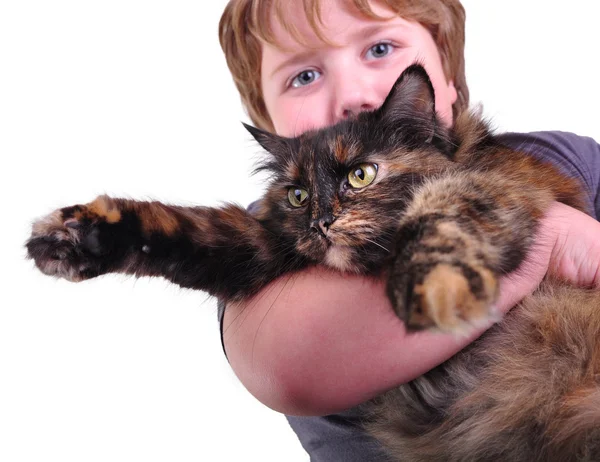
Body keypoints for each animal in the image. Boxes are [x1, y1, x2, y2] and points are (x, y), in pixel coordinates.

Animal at [27, 66, 600, 462]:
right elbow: (186, 229)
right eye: (298, 195)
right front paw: (76, 236)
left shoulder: (496, 189)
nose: (322, 221)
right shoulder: (263, 247)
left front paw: (430, 288)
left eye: (362, 175)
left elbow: (441, 211)